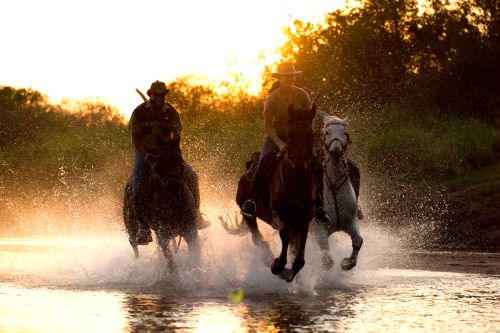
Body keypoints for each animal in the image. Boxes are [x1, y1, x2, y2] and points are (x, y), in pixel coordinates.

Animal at [222, 103, 316, 280]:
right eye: (290, 135)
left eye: (311, 135)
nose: (299, 165)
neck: (295, 183)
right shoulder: (276, 215)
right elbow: (284, 234)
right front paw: (278, 266)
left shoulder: (303, 220)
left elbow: (299, 258)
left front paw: (289, 272)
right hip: (249, 215)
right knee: (257, 238)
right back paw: (268, 259)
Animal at [312, 114, 364, 270]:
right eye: (327, 132)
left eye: (345, 133)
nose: (335, 150)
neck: (335, 186)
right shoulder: (319, 228)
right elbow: (327, 260)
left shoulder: (351, 221)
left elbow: (358, 241)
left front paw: (347, 263)